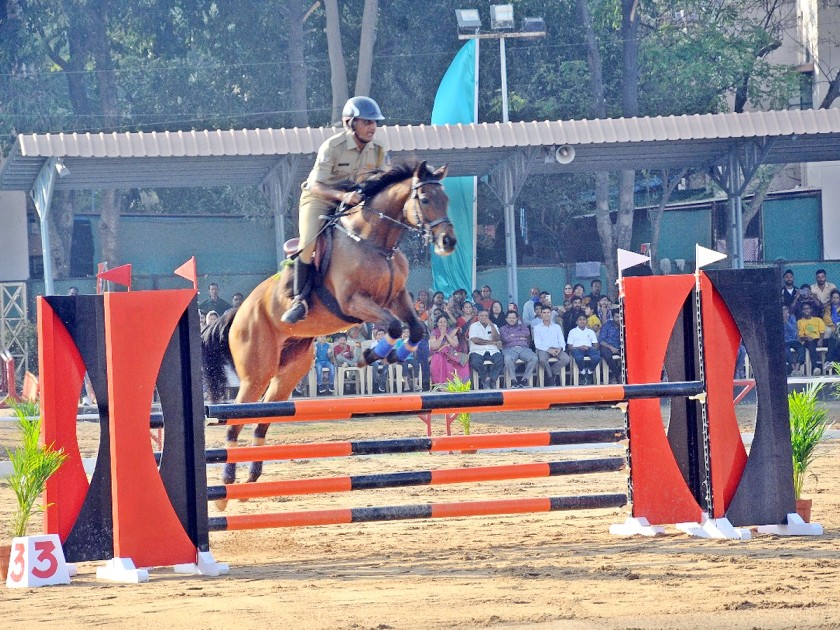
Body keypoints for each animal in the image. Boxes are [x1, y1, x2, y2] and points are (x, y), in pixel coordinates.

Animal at [201, 160, 456, 512]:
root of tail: (238, 312)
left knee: (263, 415)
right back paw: (226, 487)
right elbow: (392, 326)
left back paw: (252, 473)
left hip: (289, 371)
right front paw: (372, 355)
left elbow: (416, 328)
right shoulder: (354, 303)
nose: (448, 242)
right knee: (236, 419)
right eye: (427, 199)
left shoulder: (397, 298)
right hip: (256, 371)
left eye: (446, 199)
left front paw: (396, 355)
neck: (374, 243)